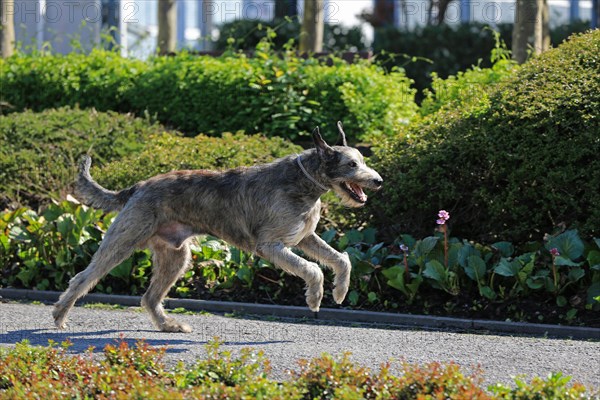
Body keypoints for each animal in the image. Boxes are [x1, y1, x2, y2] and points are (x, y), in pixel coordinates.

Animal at [56, 123, 384, 332]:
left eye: (363, 159)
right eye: (352, 164)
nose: (378, 181)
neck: (304, 182)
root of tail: (136, 187)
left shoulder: (305, 238)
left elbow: (341, 259)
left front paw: (340, 291)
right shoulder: (271, 245)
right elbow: (313, 269)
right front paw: (315, 298)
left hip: (175, 256)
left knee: (150, 296)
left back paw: (168, 326)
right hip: (122, 240)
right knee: (83, 278)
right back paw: (59, 316)